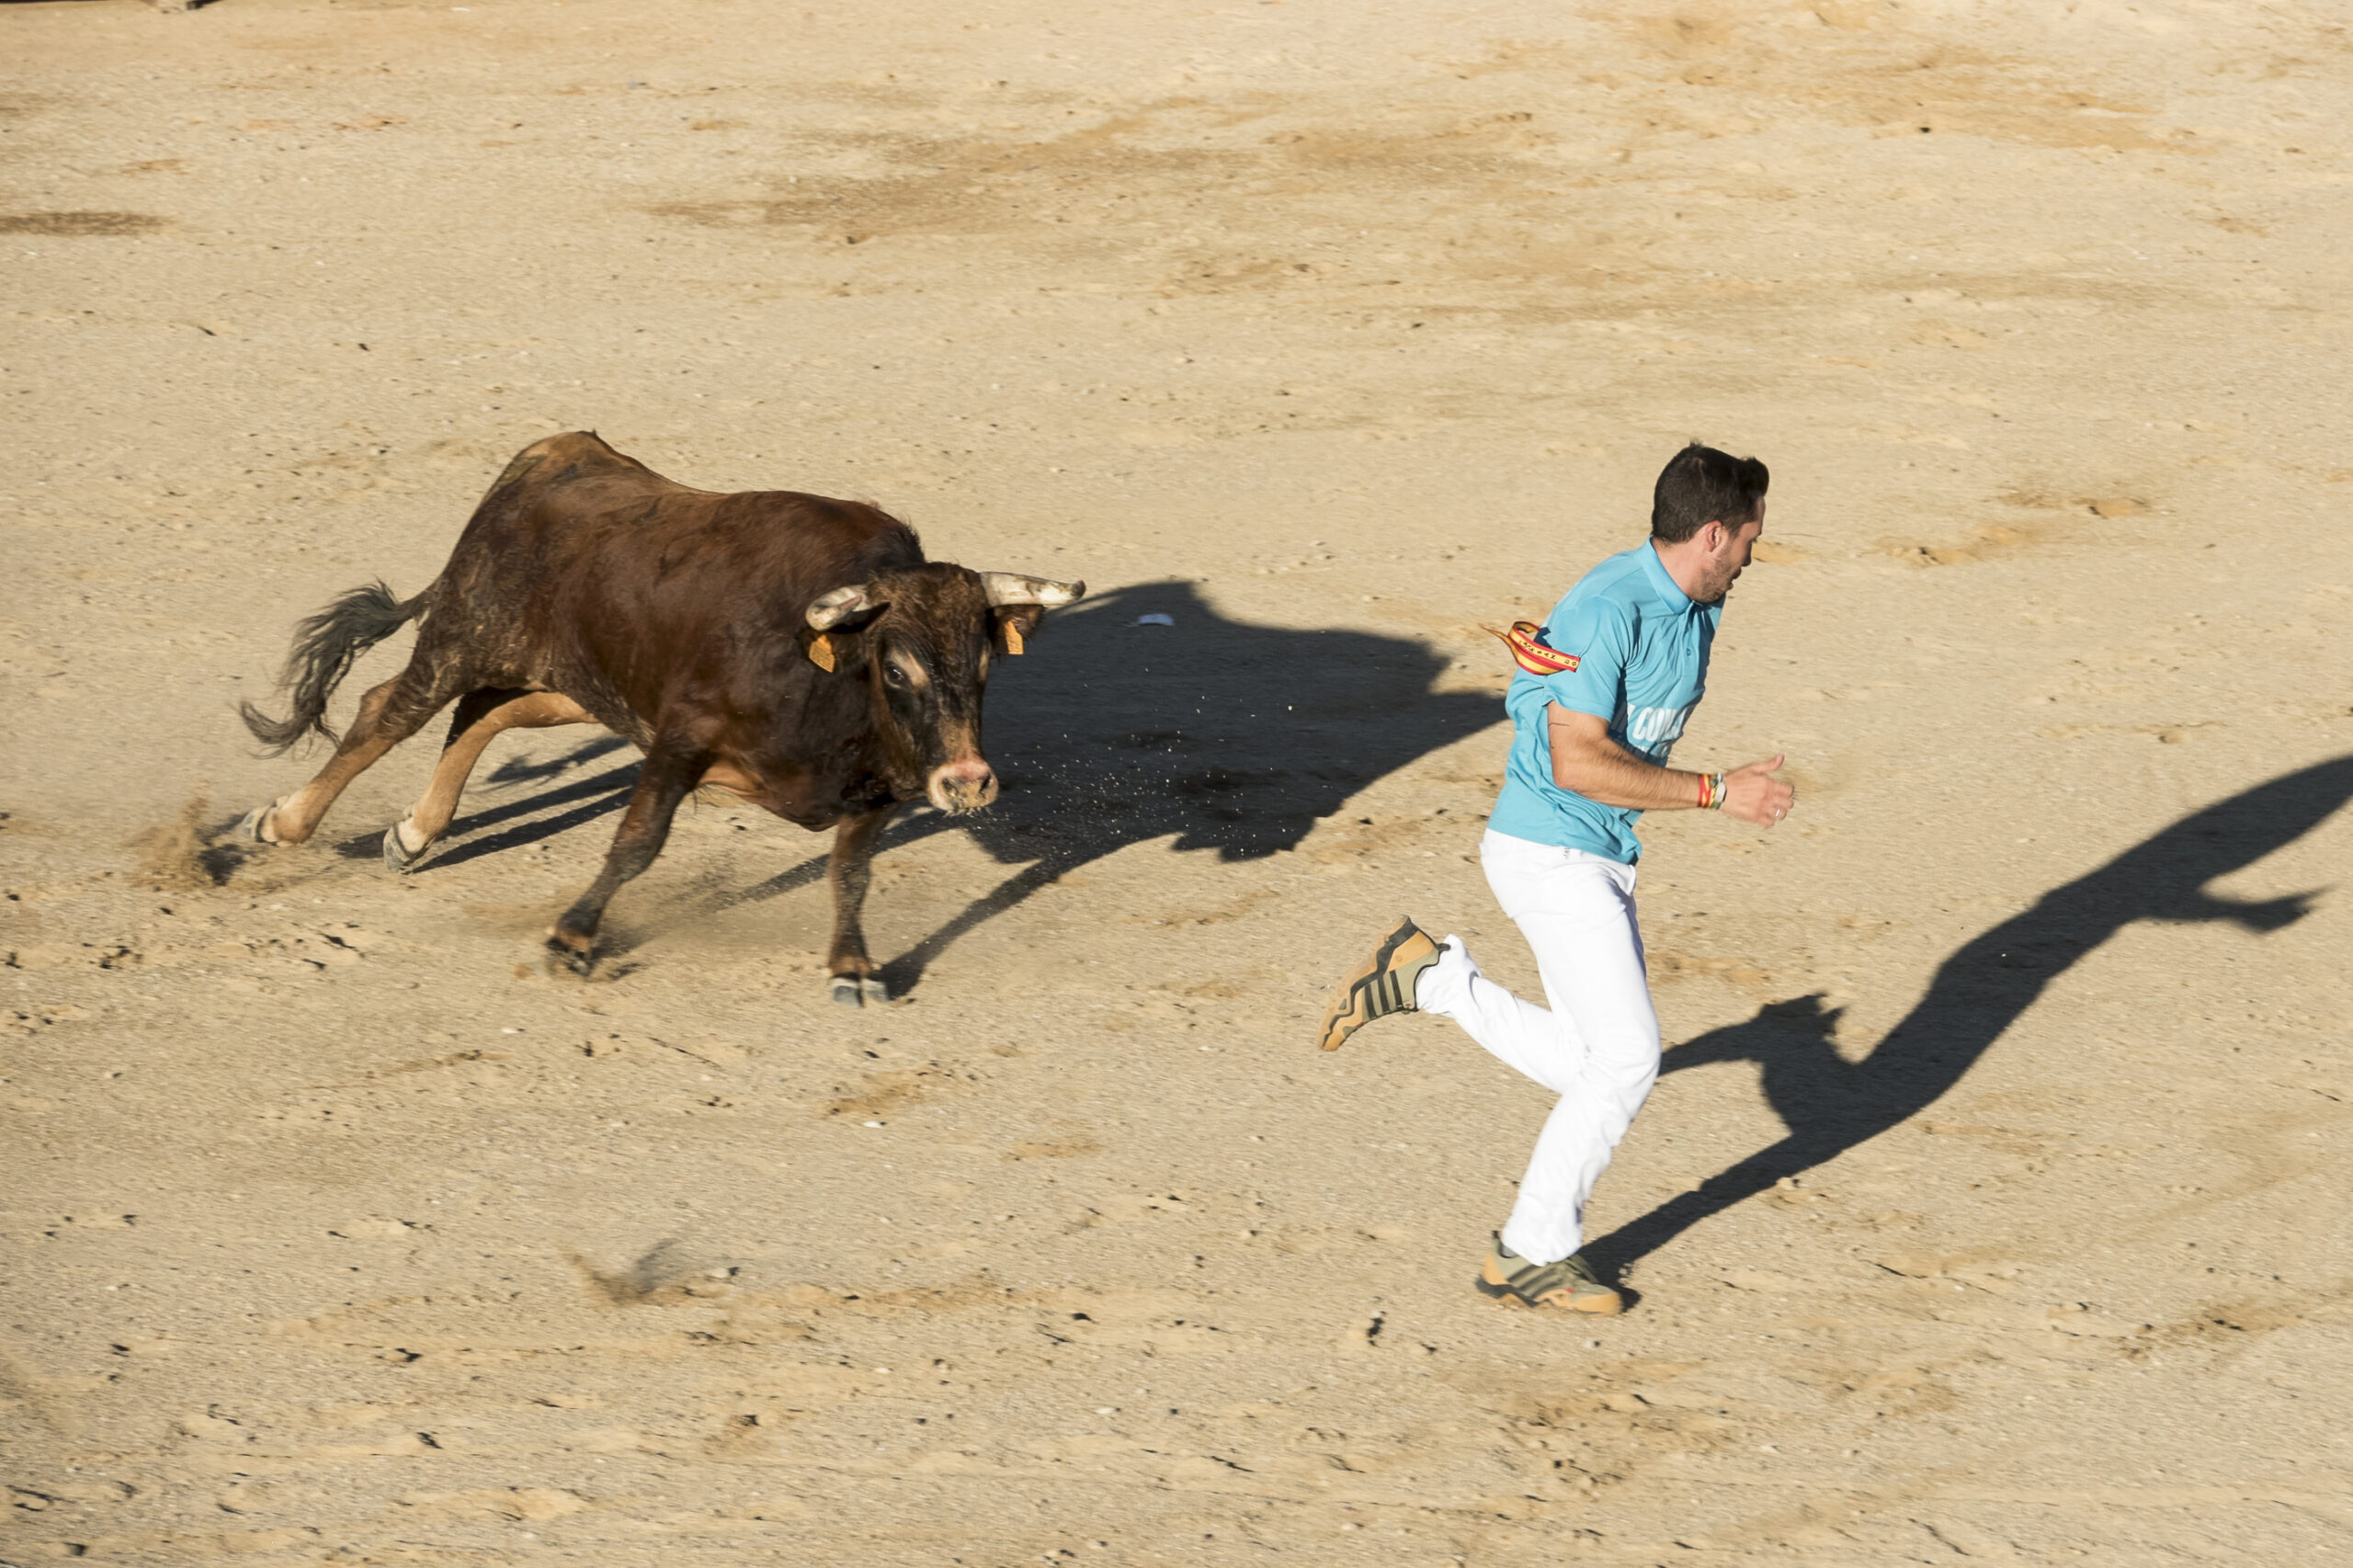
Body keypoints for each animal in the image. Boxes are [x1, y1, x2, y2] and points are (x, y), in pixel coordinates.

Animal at [233, 433, 1077, 1007]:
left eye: (984, 663)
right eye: (898, 669)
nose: (966, 782)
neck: (826, 674)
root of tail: (550, 454)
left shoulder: (878, 787)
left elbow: (851, 872)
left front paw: (852, 967)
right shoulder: (680, 740)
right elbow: (637, 840)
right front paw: (571, 939)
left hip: (572, 685)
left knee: (484, 714)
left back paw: (413, 833)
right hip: (462, 638)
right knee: (389, 712)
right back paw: (285, 822)